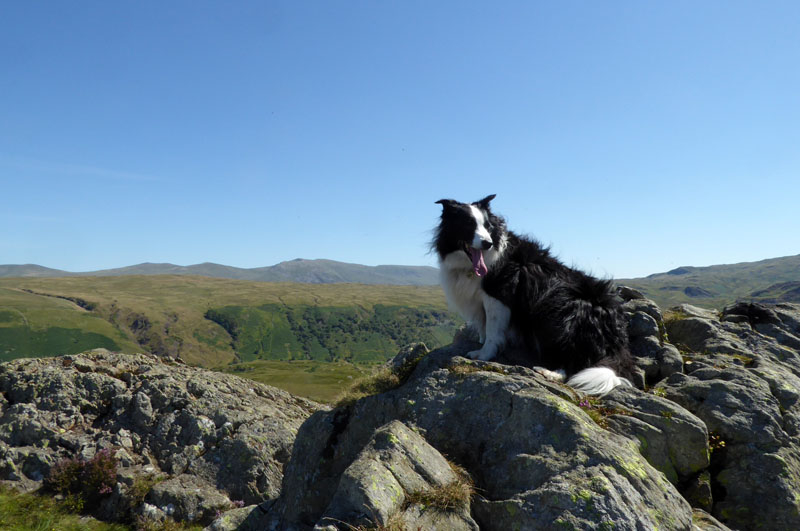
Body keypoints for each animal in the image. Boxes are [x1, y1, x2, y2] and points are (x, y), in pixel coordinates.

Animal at [434, 195, 636, 394]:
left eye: (487, 226)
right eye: (468, 224)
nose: (487, 243)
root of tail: (617, 337)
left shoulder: (498, 296)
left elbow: (492, 331)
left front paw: (483, 354)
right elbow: (483, 326)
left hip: (558, 307)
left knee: (574, 361)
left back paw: (549, 372)